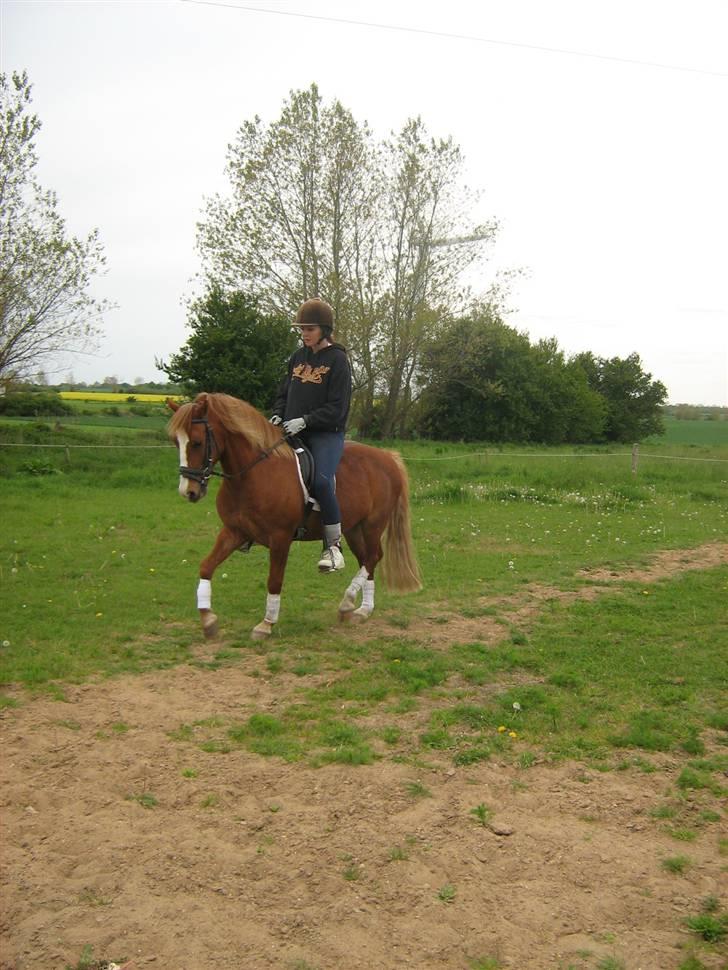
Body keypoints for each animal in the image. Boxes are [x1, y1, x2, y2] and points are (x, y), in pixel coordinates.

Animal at [168, 390, 420, 640]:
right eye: (176, 442)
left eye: (197, 443)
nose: (189, 491)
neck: (253, 474)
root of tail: (387, 457)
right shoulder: (234, 532)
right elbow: (206, 566)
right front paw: (208, 619)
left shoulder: (280, 538)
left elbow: (274, 580)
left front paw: (266, 623)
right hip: (354, 529)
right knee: (367, 559)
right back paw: (363, 609)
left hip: (372, 525)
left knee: (373, 557)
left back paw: (348, 601)